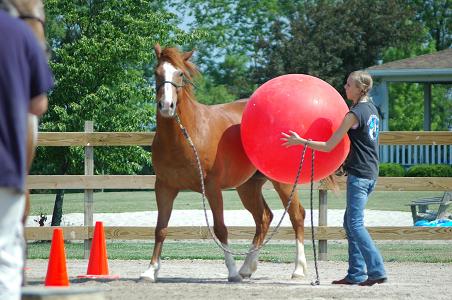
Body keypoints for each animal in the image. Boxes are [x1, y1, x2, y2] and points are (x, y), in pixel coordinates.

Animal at [141, 44, 308, 282]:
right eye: (156, 73)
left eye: (180, 73)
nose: (166, 105)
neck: (187, 134)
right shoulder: (164, 188)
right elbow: (160, 229)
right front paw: (150, 270)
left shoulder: (212, 188)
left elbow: (220, 229)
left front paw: (231, 271)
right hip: (247, 186)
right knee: (264, 218)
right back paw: (247, 268)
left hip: (281, 182)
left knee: (296, 215)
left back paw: (298, 269)